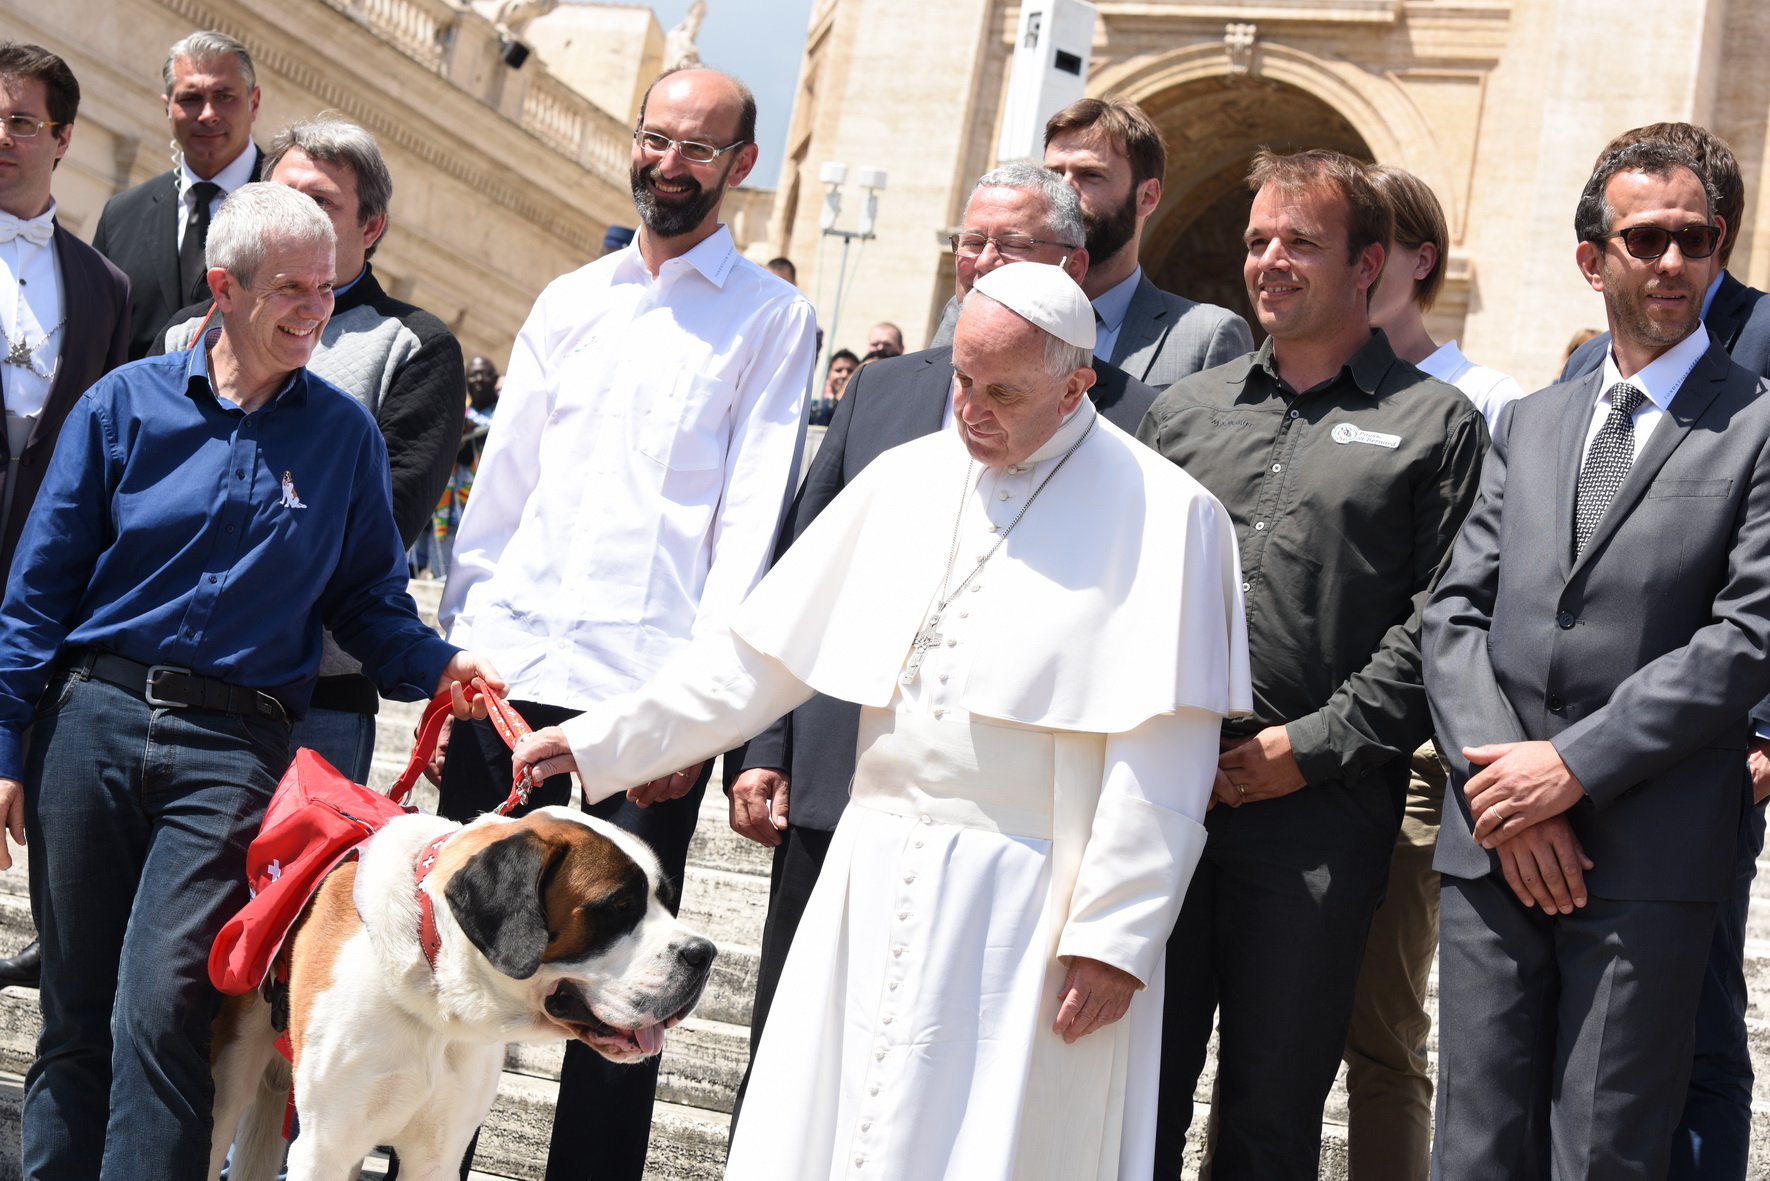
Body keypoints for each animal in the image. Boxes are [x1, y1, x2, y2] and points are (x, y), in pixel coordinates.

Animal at [209, 805, 716, 1180]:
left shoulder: (438, 1155)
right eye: (619, 906)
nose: (704, 953)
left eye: (667, 901)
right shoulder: (325, 1147)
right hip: (227, 1087)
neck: (436, 988)